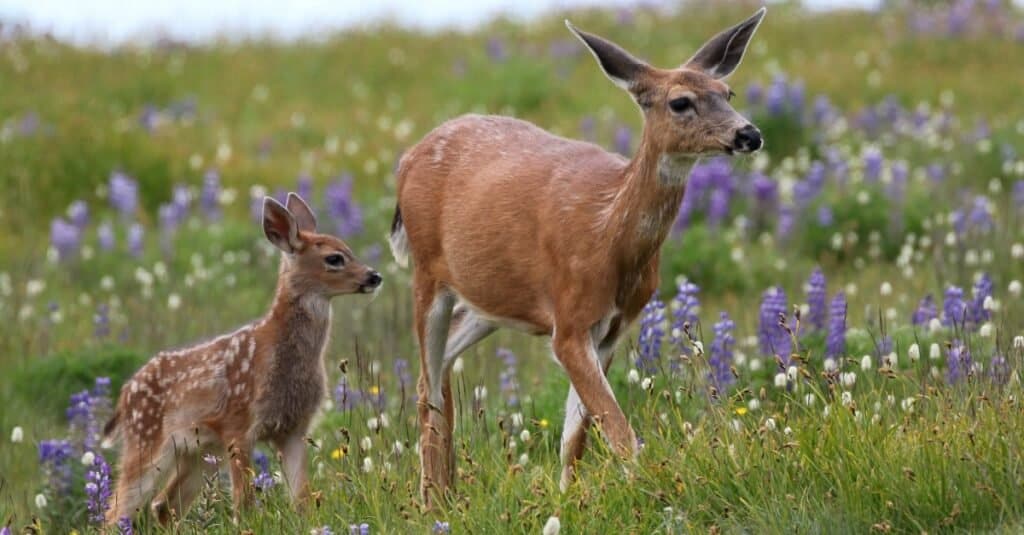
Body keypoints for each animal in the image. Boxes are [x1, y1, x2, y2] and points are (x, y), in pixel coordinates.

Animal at [387, 7, 765, 500]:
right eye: (680, 102)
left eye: (727, 92)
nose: (749, 134)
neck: (608, 238)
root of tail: (406, 160)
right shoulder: (568, 319)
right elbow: (618, 431)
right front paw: (648, 494)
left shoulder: (611, 328)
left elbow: (576, 436)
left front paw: (567, 500)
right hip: (427, 271)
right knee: (427, 382)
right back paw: (433, 500)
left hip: (488, 300)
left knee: (440, 365)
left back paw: (448, 491)